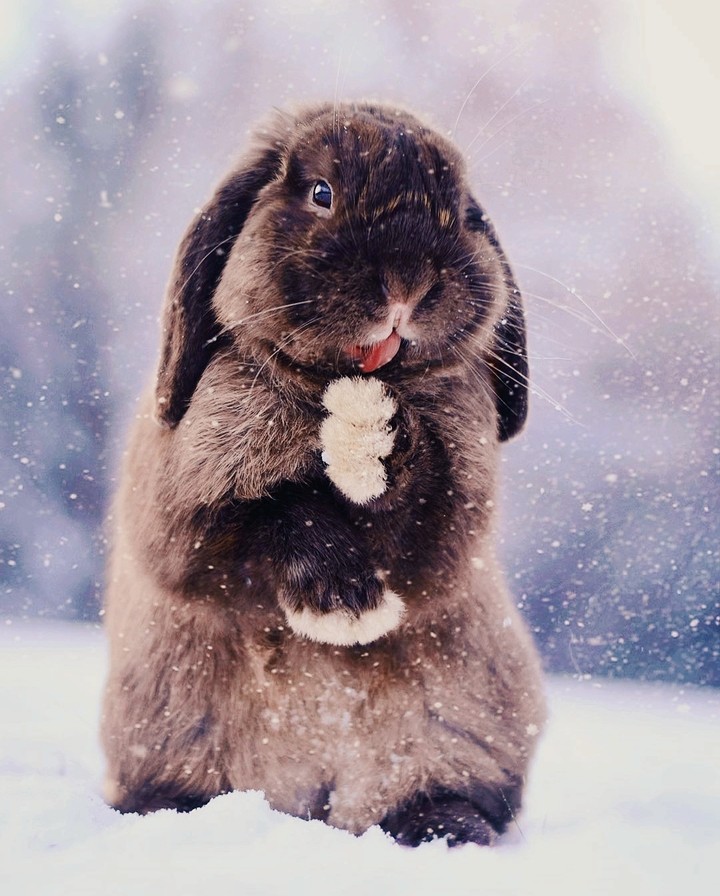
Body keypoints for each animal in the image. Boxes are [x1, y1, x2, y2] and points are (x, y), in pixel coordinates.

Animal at [100, 101, 546, 846]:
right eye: (320, 193)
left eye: (457, 211)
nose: (406, 283)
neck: (331, 382)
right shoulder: (185, 512)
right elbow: (270, 519)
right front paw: (345, 604)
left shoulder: (459, 511)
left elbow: (423, 525)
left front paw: (381, 439)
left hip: (456, 730)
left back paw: (445, 829)